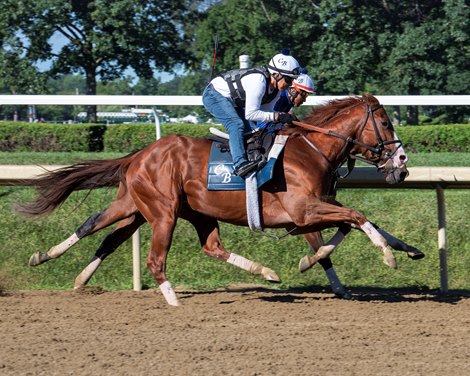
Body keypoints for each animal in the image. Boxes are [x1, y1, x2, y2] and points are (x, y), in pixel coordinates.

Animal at [17, 94, 418, 306]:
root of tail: (140, 154)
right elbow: (356, 217)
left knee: (105, 232)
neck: (310, 150)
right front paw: (387, 255)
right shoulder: (303, 210)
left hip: (145, 208)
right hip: (162, 212)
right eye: (385, 123)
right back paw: (172, 299)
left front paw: (408, 249)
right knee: (151, 256)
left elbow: (350, 226)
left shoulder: (313, 210)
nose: (401, 164)